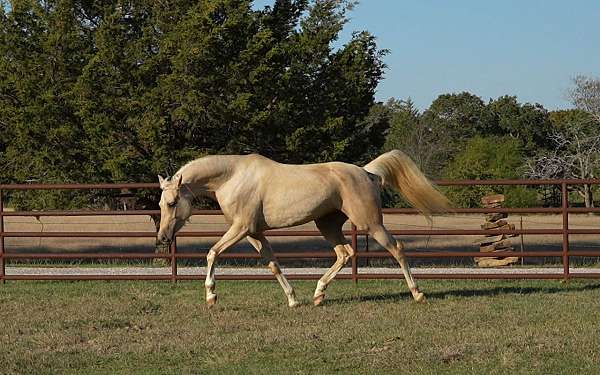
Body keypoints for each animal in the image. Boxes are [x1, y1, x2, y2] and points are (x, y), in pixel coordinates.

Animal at [157, 151, 448, 308]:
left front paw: (211, 296)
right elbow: (273, 265)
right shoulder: (254, 233)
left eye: (171, 203)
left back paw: (418, 293)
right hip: (327, 225)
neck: (232, 177)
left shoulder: (241, 228)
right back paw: (318, 295)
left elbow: (212, 253)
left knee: (396, 249)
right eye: (160, 204)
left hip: (371, 223)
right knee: (345, 253)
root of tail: (367, 173)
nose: (162, 238)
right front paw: (293, 299)